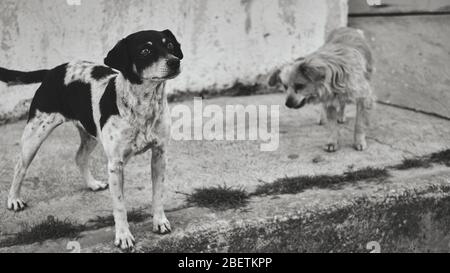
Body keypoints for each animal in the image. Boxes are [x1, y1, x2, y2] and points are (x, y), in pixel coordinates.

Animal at [0, 29, 183, 249]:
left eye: (169, 45)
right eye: (145, 51)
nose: (175, 62)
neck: (143, 106)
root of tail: (52, 71)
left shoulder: (159, 155)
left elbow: (158, 194)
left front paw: (160, 222)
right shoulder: (115, 165)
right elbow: (120, 206)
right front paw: (123, 236)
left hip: (90, 134)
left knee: (79, 157)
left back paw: (92, 184)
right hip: (35, 133)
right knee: (20, 166)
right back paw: (13, 200)